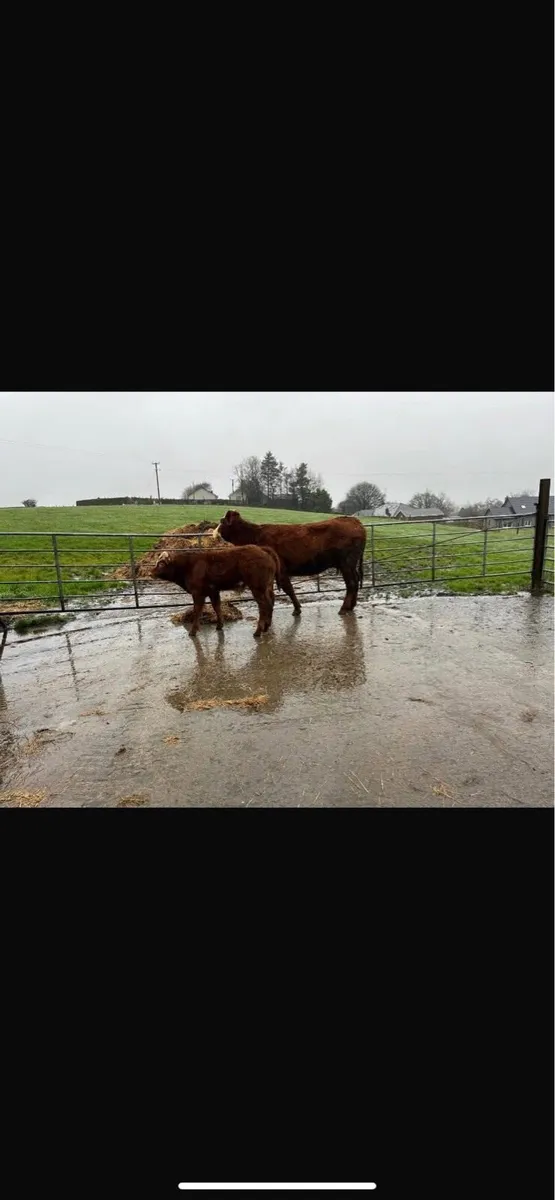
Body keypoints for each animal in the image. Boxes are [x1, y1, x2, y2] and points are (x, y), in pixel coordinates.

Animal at [151, 545, 281, 638]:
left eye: (161, 564)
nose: (151, 572)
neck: (189, 566)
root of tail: (261, 549)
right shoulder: (213, 592)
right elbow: (216, 607)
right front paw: (219, 625)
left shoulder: (198, 593)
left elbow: (197, 610)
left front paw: (193, 631)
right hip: (267, 587)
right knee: (271, 602)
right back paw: (266, 627)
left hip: (257, 588)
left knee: (263, 606)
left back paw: (258, 631)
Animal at [214, 511, 366, 616]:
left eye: (221, 521)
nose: (214, 533)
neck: (255, 535)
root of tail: (354, 521)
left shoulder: (281, 571)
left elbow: (288, 589)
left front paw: (297, 609)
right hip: (351, 565)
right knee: (356, 581)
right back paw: (351, 606)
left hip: (346, 564)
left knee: (351, 584)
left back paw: (344, 608)